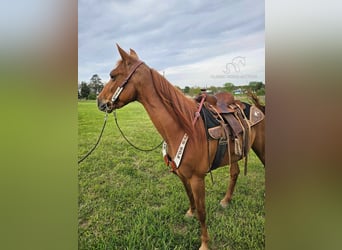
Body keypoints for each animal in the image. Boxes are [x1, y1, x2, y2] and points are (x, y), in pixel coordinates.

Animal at [96, 45, 264, 250]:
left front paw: (204, 243)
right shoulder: (182, 174)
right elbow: (190, 198)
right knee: (234, 173)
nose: (99, 101)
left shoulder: (198, 179)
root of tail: (257, 107)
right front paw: (190, 213)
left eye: (113, 76)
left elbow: (203, 212)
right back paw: (226, 201)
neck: (184, 129)